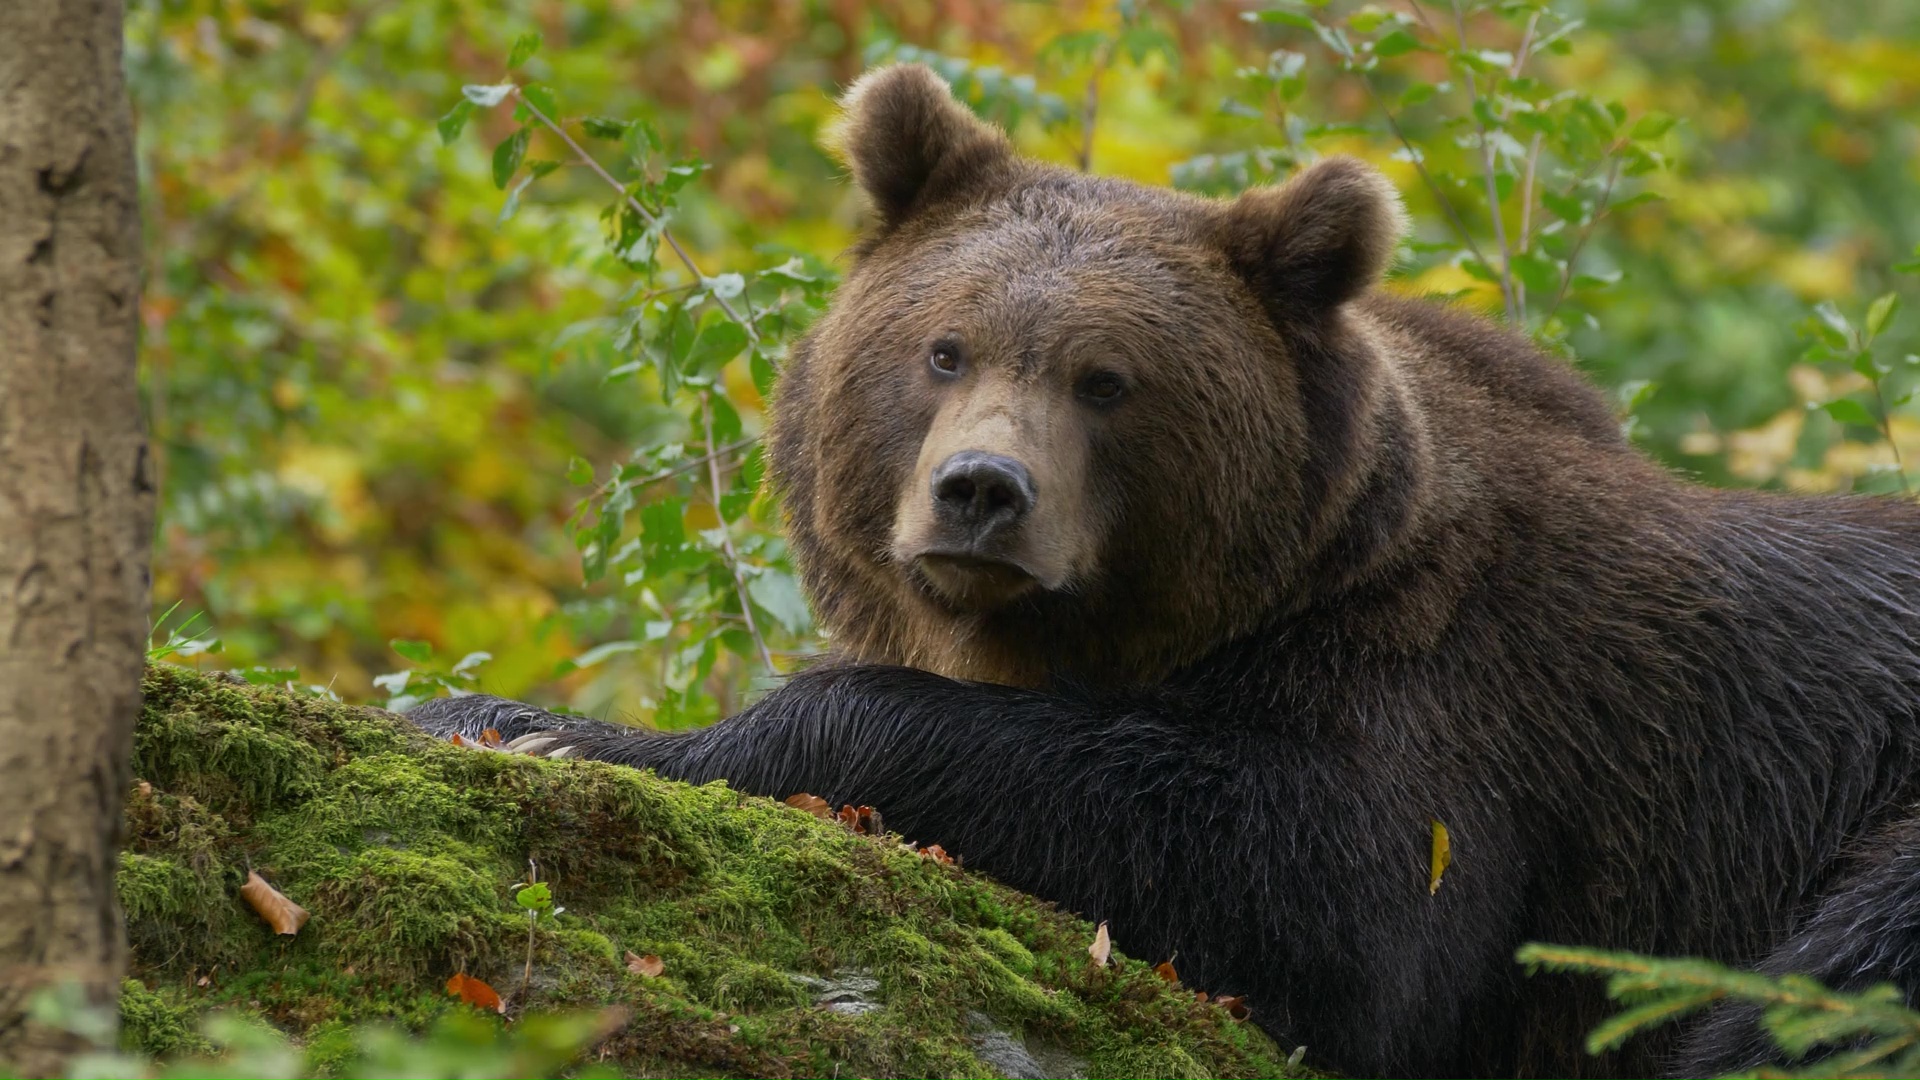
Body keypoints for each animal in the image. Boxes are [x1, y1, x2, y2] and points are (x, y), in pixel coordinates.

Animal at [412, 64, 1920, 1079]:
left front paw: (582, 733)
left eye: (1107, 379)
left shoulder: (1459, 707)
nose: (980, 492)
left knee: (1820, 992)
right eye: (944, 348)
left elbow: (1329, 891)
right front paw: (485, 709)